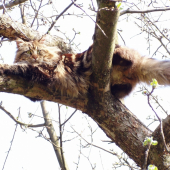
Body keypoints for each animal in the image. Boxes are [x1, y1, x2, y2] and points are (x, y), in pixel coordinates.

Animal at [14, 37, 170, 98]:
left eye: (39, 51)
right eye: (28, 52)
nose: (34, 57)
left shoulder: (45, 70)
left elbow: (17, 67)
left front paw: (8, 68)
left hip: (98, 52)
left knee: (127, 58)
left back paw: (117, 56)